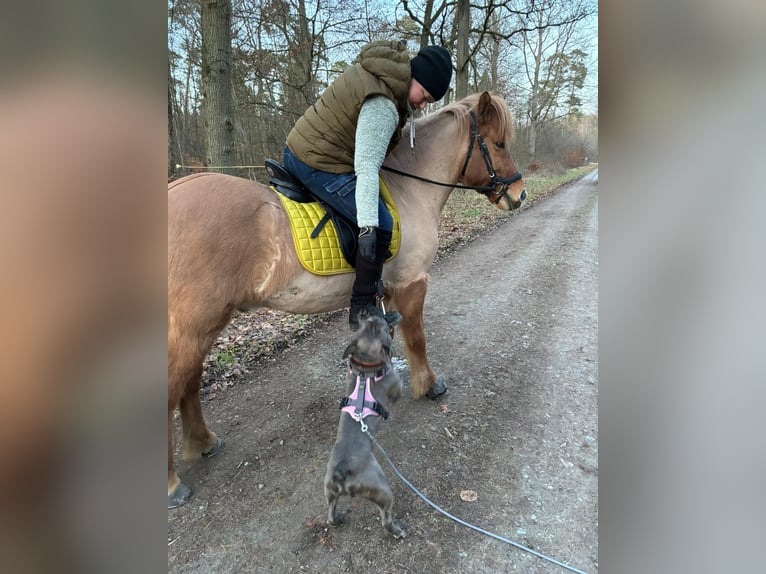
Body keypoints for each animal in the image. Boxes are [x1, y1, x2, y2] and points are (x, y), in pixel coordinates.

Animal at [168, 91, 527, 508]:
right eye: (498, 143)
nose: (520, 193)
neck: (407, 191)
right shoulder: (412, 284)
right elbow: (418, 339)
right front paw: (429, 385)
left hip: (202, 327)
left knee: (189, 382)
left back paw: (203, 442)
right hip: (194, 326)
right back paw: (172, 483)